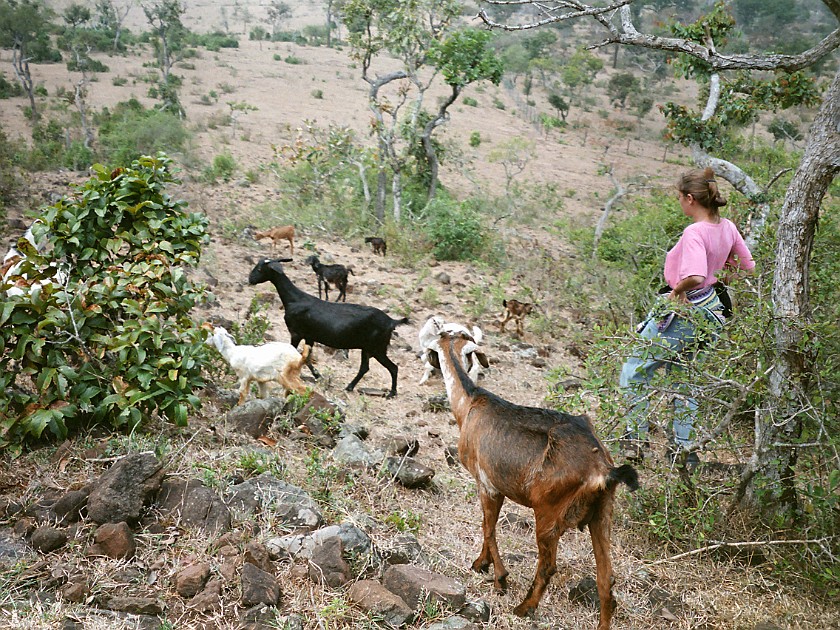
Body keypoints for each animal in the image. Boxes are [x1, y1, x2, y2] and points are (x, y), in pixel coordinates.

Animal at [248, 258, 408, 398]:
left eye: (260, 269)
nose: (250, 279)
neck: (294, 300)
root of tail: (391, 321)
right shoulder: (309, 337)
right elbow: (306, 358)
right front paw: (318, 375)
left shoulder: (296, 333)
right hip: (368, 348)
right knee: (365, 368)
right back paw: (350, 387)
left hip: (377, 348)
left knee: (393, 367)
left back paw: (391, 393)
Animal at [430, 334, 640, 628]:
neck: (471, 403)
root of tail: (602, 467)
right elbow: (488, 526)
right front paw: (482, 564)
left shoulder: (488, 485)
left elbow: (488, 528)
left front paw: (499, 577)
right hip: (602, 513)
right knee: (606, 577)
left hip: (548, 514)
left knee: (548, 566)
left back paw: (524, 607)